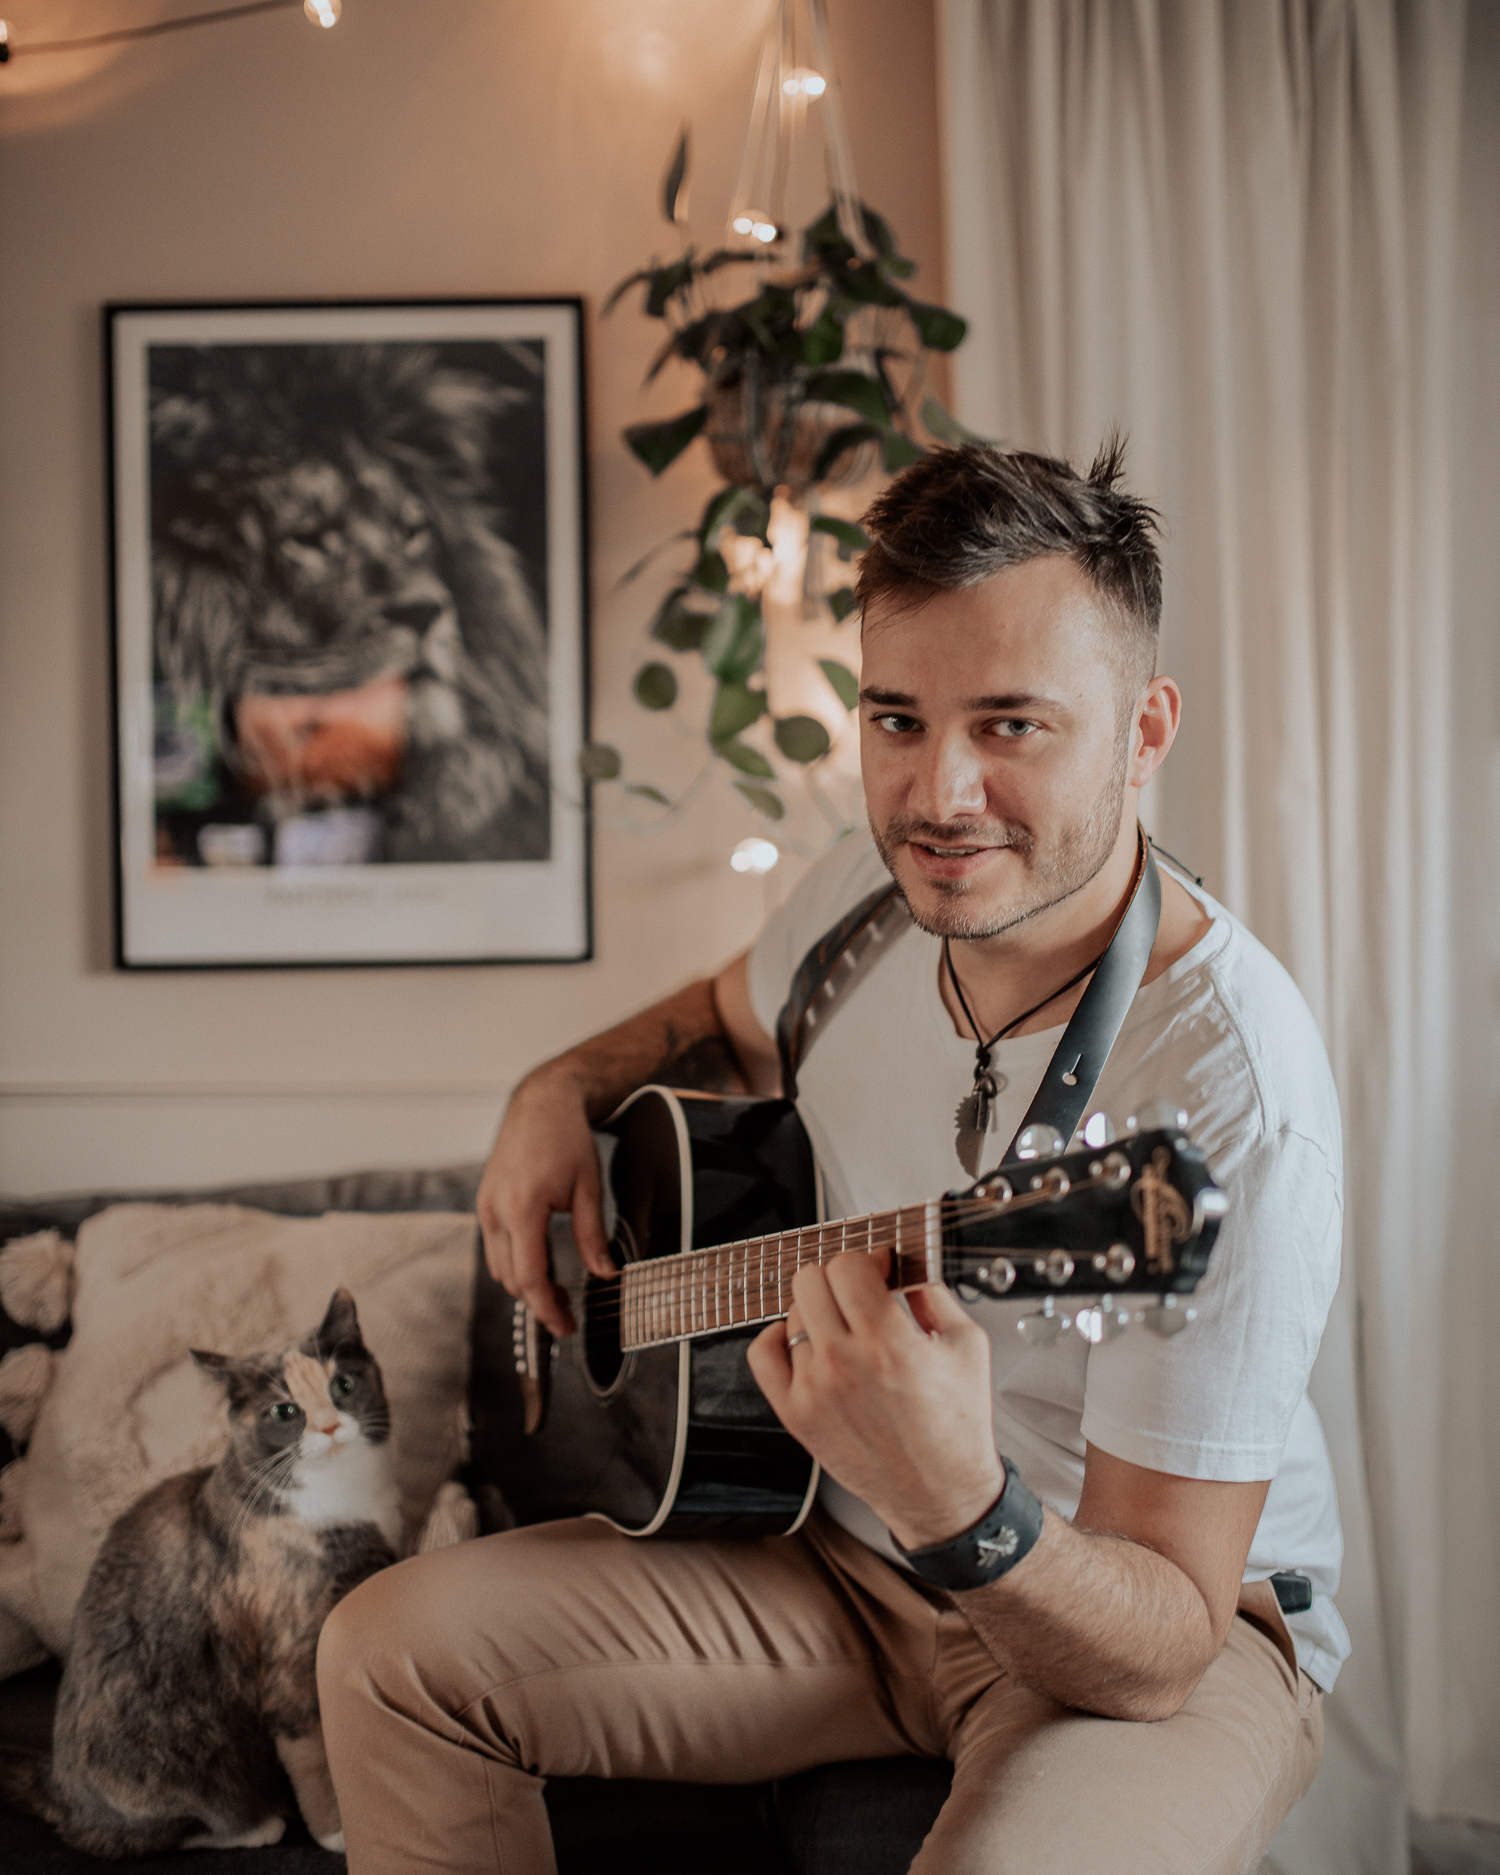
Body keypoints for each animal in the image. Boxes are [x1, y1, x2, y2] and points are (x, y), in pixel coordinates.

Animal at [1, 1290, 397, 1845]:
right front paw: (336, 1832)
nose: (330, 1425)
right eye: (284, 1411)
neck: (344, 1497)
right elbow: (313, 1753)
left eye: (343, 1385)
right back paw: (258, 1824)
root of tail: (57, 1788)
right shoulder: (288, 1660)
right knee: (172, 1828)